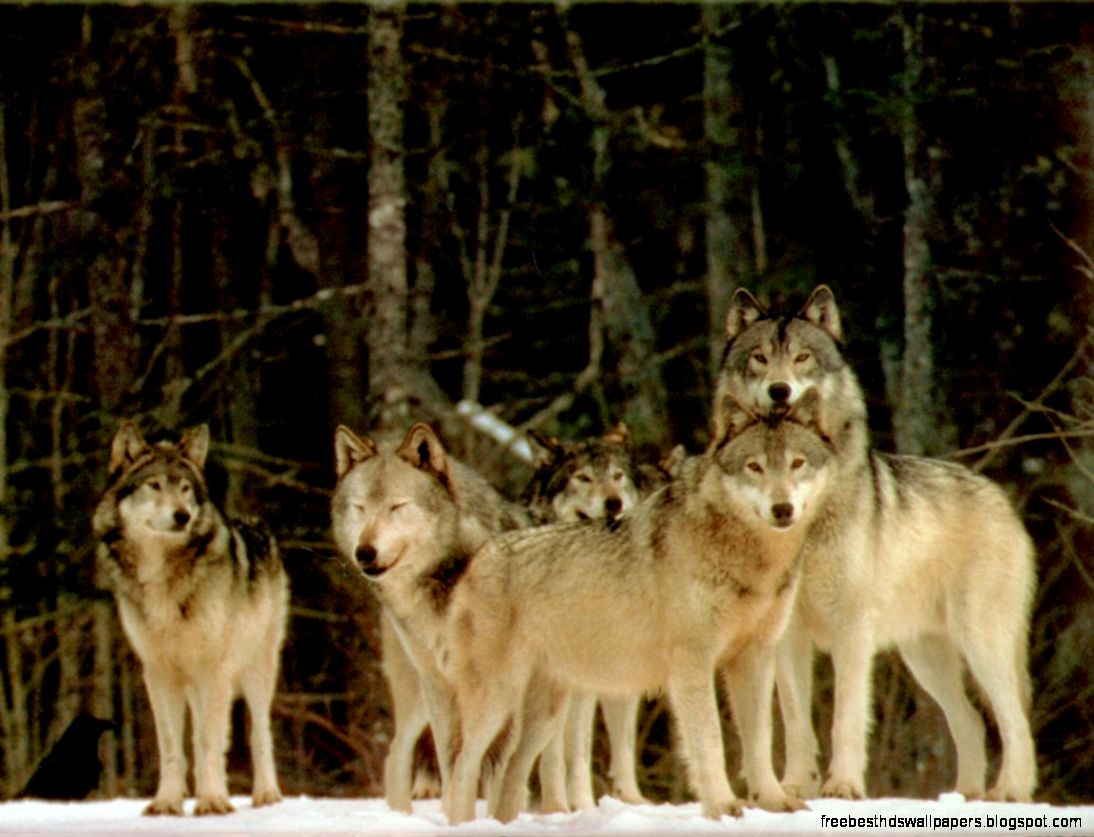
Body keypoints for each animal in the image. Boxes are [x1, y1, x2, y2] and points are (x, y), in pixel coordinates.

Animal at [93, 423, 288, 816]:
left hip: (255, 671)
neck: (162, 578)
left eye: (184, 488)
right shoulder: (159, 672)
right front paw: (168, 802)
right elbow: (172, 747)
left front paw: (211, 801)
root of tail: (257, 524)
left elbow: (208, 743)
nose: (182, 515)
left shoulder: (212, 669)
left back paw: (265, 795)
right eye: (155, 485)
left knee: (258, 734)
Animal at [330, 422, 529, 814]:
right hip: (421, 696)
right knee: (397, 756)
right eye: (360, 508)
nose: (364, 552)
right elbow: (459, 769)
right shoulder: (443, 685)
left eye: (397, 506)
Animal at [438, 393, 837, 825]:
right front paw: (723, 807)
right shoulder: (691, 663)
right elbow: (710, 740)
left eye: (797, 463)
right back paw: (462, 825)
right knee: (462, 767)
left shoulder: (756, 657)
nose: (783, 509)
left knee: (511, 773)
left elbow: (761, 739)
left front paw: (772, 802)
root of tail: (479, 557)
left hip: (545, 714)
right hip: (498, 700)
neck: (749, 558)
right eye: (755, 466)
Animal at [713, 286, 1037, 803]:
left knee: (1014, 720)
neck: (806, 521)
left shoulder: (852, 629)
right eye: (760, 358)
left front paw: (843, 785)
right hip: (925, 658)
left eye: (802, 357)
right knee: (970, 721)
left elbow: (845, 716)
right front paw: (797, 786)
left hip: (980, 643)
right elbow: (796, 720)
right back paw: (964, 795)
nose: (780, 390)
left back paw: (1009, 793)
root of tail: (1002, 500)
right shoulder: (786, 633)